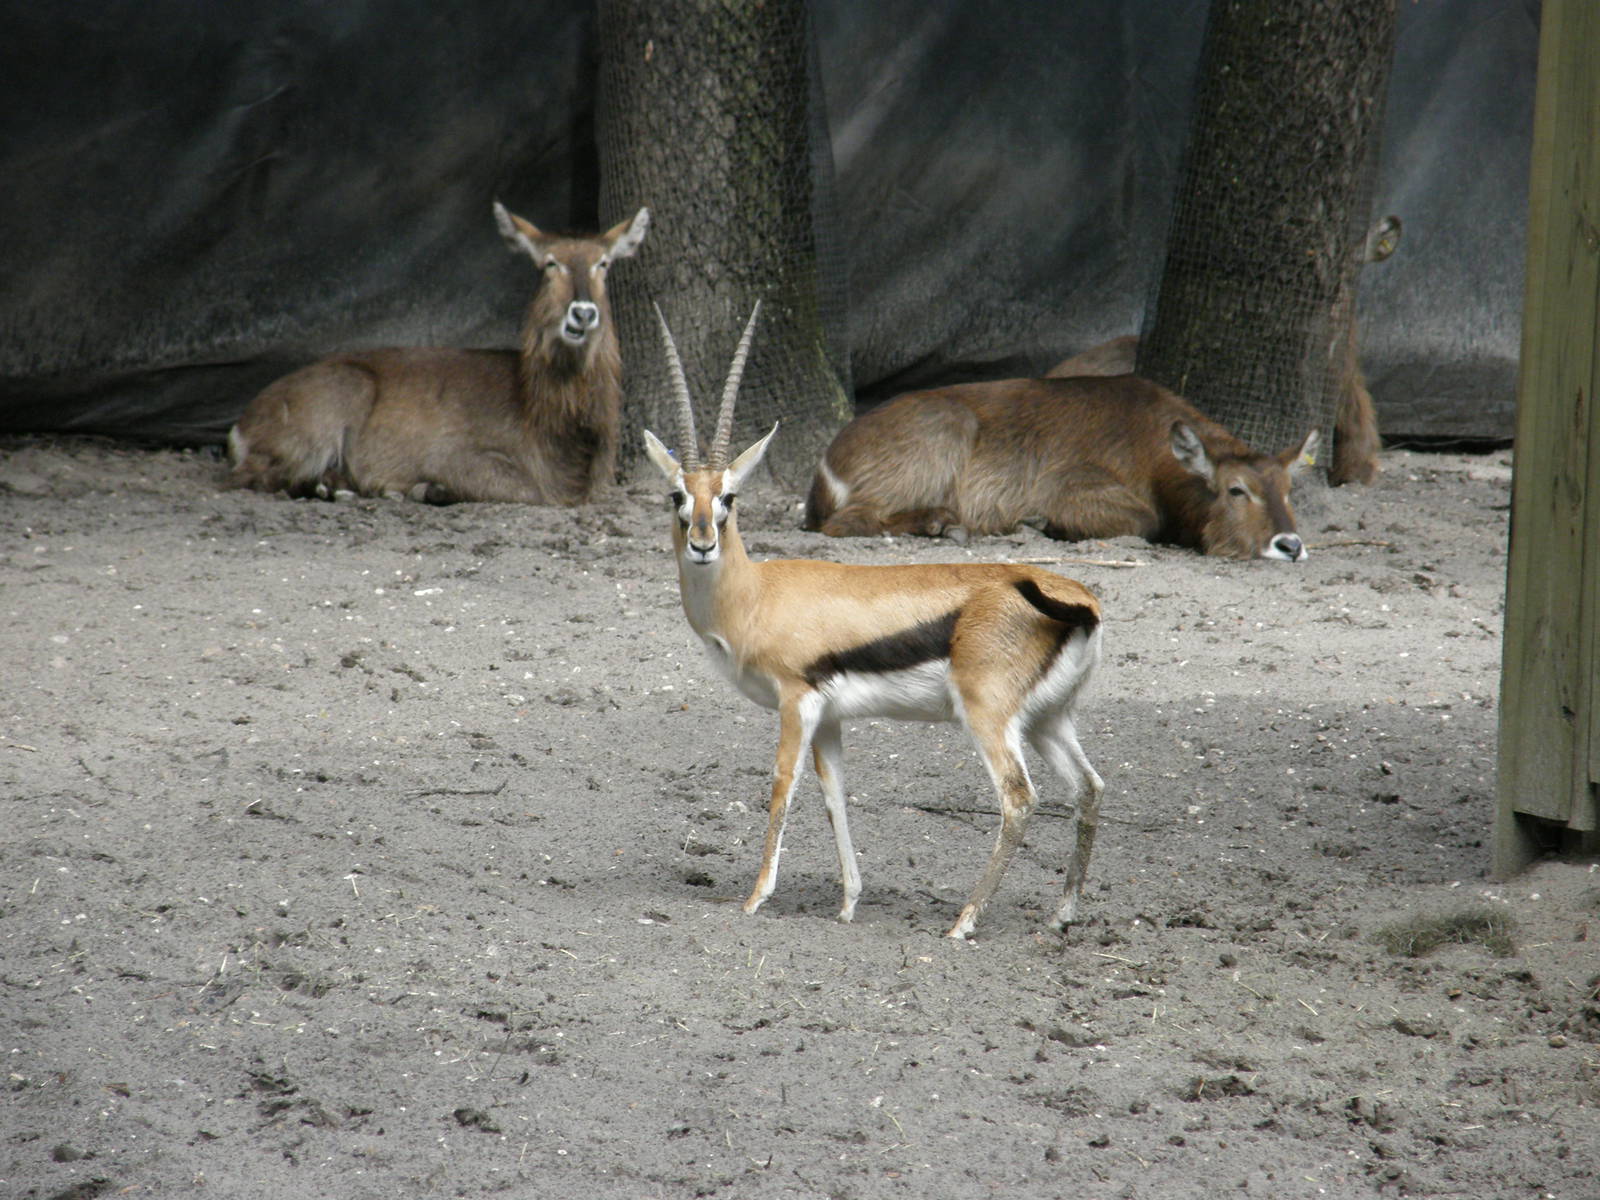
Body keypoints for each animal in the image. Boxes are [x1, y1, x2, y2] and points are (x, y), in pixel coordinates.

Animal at [226, 203, 648, 504]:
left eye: (603, 263)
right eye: (549, 263)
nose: (583, 313)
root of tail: (240, 425)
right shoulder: (456, 455)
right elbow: (527, 490)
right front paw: (426, 488)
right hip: (333, 405)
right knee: (250, 476)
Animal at [645, 303, 1105, 940]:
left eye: (730, 498)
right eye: (676, 496)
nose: (702, 544)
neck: (755, 596)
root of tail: (1074, 598)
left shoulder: (796, 703)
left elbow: (781, 790)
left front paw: (755, 899)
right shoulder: (830, 719)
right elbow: (835, 797)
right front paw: (848, 904)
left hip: (990, 718)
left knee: (1018, 799)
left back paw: (963, 923)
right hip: (1048, 719)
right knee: (1088, 788)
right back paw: (1062, 914)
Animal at [805, 374, 1318, 561]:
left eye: (1288, 490)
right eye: (1236, 490)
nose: (1290, 545)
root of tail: (828, 462)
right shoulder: (1070, 485)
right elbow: (1145, 520)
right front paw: (1042, 523)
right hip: (947, 428)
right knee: (846, 523)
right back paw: (945, 524)